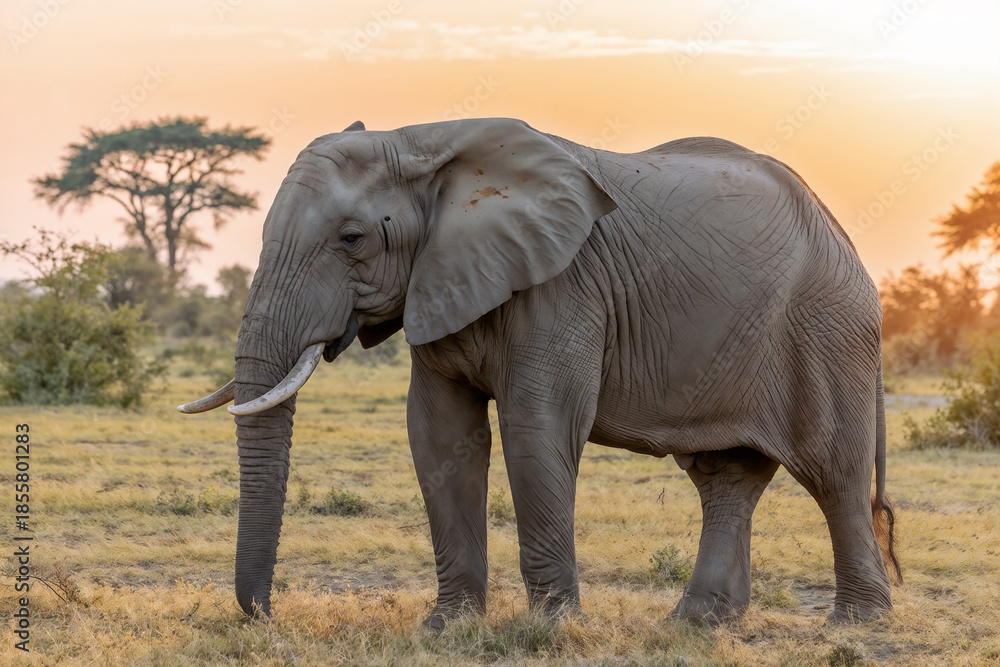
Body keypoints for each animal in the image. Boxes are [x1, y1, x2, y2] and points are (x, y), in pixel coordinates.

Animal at [178, 117, 901, 627]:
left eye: (352, 239)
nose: (268, 614)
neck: (421, 140)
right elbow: (438, 435)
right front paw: (447, 627)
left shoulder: (562, 284)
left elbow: (536, 425)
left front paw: (551, 629)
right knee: (725, 477)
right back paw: (697, 623)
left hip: (826, 328)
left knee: (833, 472)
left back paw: (856, 624)